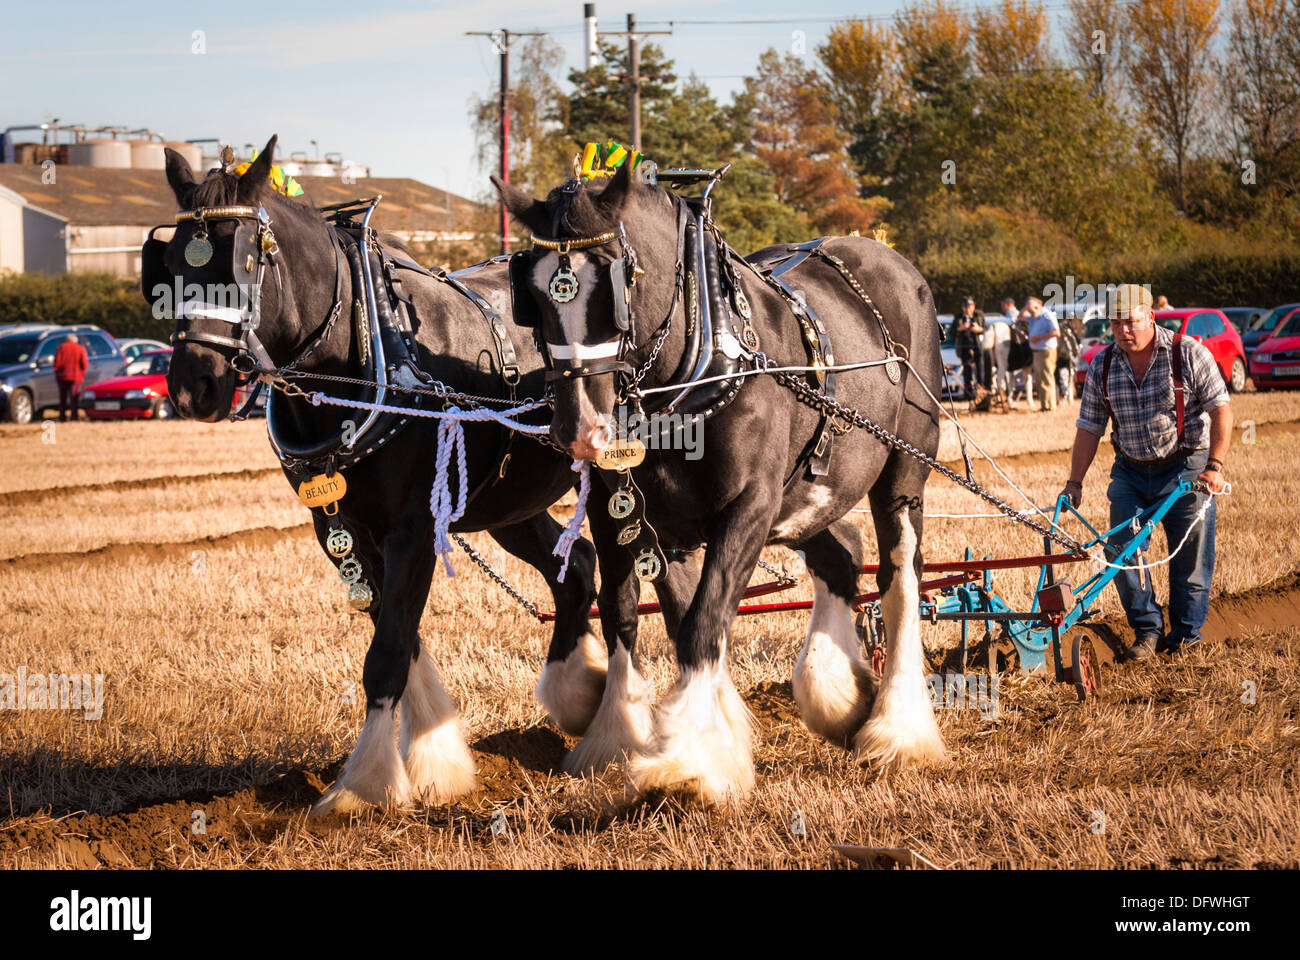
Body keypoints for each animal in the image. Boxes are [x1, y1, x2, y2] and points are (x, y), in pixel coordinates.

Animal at [150, 136, 694, 814]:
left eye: (248, 259)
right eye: (170, 260)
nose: (193, 385)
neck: (357, 357)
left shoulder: (411, 527)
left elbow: (386, 653)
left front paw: (363, 786)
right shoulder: (341, 530)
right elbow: (399, 636)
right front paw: (435, 761)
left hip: (607, 482)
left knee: (625, 588)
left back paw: (621, 724)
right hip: (507, 502)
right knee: (581, 572)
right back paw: (578, 693)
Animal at [495, 163, 947, 802]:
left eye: (615, 284)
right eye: (529, 297)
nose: (581, 427)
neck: (700, 360)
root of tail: (887, 257)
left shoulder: (748, 507)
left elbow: (702, 622)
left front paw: (688, 761)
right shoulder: (628, 515)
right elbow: (631, 615)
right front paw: (623, 735)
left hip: (903, 475)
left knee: (900, 578)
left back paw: (899, 730)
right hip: (804, 498)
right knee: (839, 556)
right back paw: (836, 695)